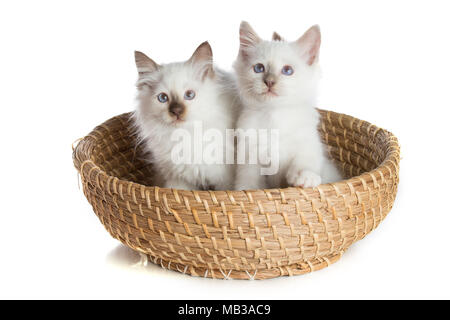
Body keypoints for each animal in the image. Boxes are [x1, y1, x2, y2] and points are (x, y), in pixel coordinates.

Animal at [134, 40, 239, 190]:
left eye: (189, 95)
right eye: (163, 98)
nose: (176, 111)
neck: (185, 135)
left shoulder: (224, 180)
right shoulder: (178, 180)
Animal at [232, 21, 342, 190]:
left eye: (287, 70)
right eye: (259, 68)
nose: (269, 81)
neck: (274, 115)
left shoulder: (307, 142)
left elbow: (306, 159)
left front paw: (304, 176)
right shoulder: (249, 155)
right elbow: (248, 181)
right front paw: (246, 191)